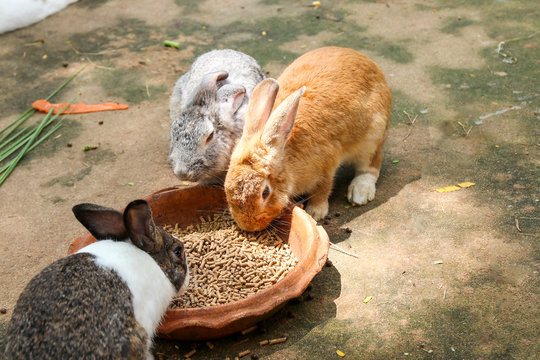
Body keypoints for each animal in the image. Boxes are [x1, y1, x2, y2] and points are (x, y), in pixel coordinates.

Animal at [225, 46, 392, 231]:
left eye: (265, 192)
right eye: (226, 187)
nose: (247, 226)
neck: (286, 155)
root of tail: (370, 63)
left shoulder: (326, 167)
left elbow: (322, 190)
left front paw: (315, 213)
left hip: (372, 137)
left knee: (371, 166)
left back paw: (360, 193)